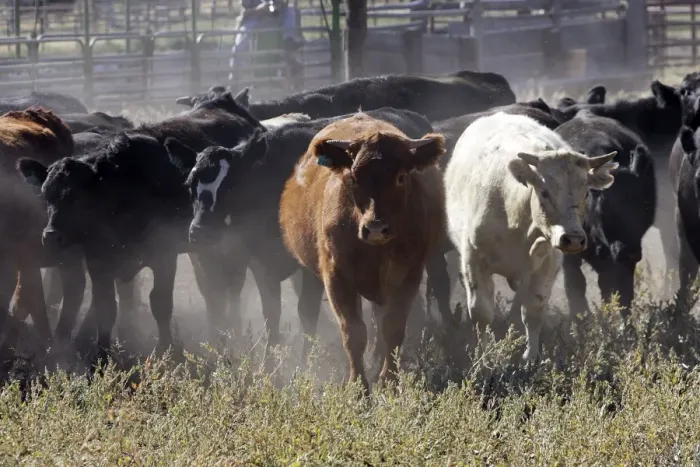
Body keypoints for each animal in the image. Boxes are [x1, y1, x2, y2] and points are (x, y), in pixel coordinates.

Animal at [16, 91, 274, 358]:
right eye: (46, 195)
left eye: (77, 197)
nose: (51, 235)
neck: (124, 191)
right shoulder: (98, 261)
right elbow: (105, 308)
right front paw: (102, 355)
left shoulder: (164, 255)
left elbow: (160, 303)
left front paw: (168, 350)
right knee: (213, 288)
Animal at [169, 107, 445, 362]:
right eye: (190, 185)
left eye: (231, 185)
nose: (199, 231)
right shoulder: (261, 262)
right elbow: (272, 313)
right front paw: (271, 362)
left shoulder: (314, 266)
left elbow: (306, 311)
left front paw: (306, 361)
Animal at [278, 112, 446, 394]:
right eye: (354, 177)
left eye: (401, 176)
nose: (376, 227)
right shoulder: (336, 276)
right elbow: (354, 332)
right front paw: (358, 386)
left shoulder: (408, 275)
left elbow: (392, 328)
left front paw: (389, 381)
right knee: (309, 310)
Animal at [444, 113, 618, 360]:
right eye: (544, 193)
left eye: (586, 193)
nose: (573, 239)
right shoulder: (473, 261)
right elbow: (481, 312)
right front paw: (485, 356)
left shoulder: (547, 264)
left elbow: (533, 312)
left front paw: (530, 357)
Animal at [555, 112, 656, 320]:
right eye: (603, 207)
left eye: (645, 206)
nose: (630, 252)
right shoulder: (569, 253)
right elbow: (575, 287)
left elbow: (622, 294)